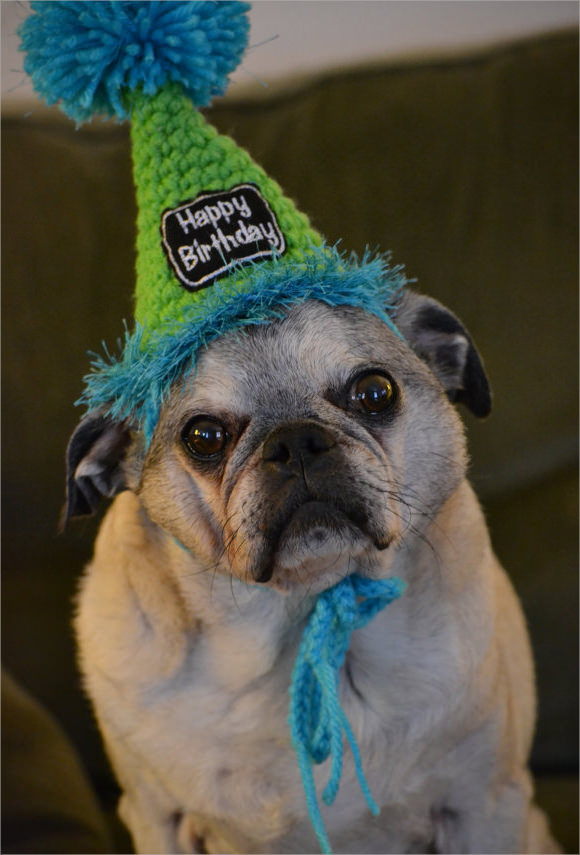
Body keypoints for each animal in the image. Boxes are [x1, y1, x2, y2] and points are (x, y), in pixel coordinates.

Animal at [65, 290, 560, 852]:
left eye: (374, 392)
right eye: (204, 437)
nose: (295, 440)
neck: (303, 613)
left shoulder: (484, 805)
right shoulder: (157, 817)